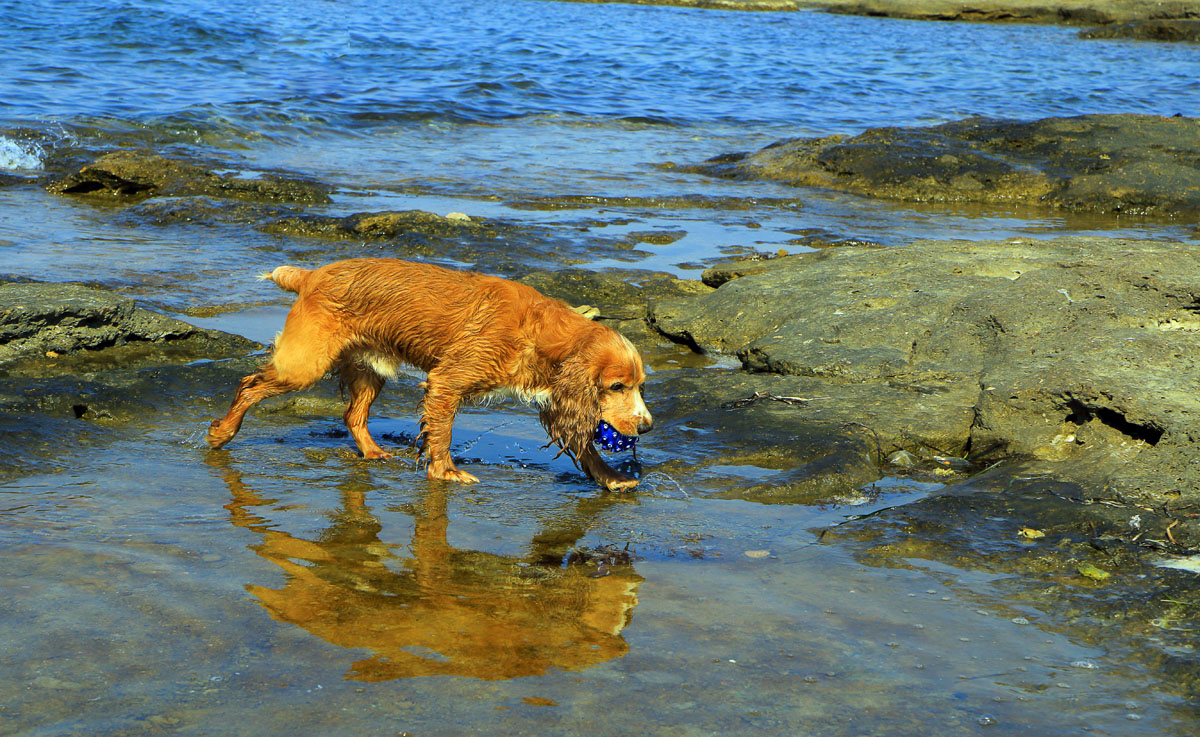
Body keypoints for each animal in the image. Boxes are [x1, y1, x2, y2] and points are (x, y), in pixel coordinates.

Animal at [208, 260, 657, 492]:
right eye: (617, 386)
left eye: (639, 386)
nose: (647, 427)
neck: (539, 331)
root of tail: (310, 275)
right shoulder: (448, 381)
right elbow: (442, 433)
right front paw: (446, 471)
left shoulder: (555, 399)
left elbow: (586, 446)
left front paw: (611, 478)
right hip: (305, 366)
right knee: (249, 385)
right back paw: (222, 433)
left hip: (369, 368)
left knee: (353, 415)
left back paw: (373, 452)